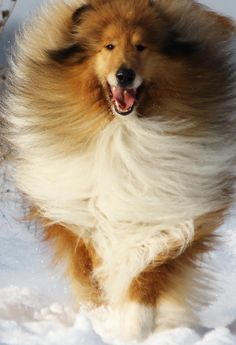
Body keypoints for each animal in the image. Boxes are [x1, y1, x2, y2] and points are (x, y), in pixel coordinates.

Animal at [2, 0, 236, 340]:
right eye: (108, 46)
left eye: (141, 46)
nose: (124, 75)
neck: (123, 132)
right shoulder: (77, 217)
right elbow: (87, 273)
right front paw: (98, 317)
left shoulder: (166, 220)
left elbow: (147, 276)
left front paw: (135, 329)